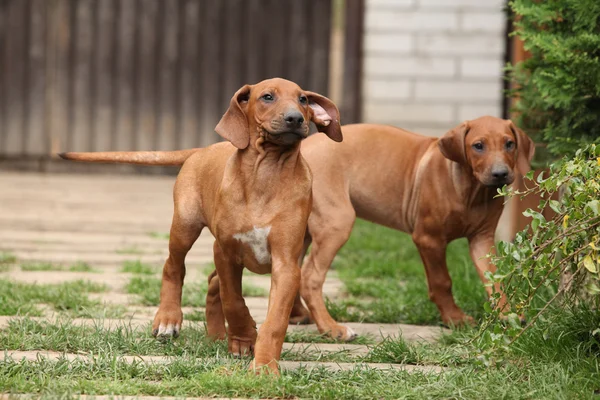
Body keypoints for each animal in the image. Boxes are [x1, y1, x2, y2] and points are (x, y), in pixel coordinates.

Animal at [62, 77, 342, 372]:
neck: (266, 173)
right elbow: (233, 300)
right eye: (267, 97)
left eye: (303, 100)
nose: (295, 118)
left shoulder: (286, 264)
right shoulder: (226, 251)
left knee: (211, 281)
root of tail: (203, 149)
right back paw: (168, 319)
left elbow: (274, 320)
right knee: (174, 267)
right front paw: (244, 337)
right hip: (185, 226)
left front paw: (264, 366)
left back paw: (217, 335)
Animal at [288, 117, 536, 340]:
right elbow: (442, 281)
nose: (500, 174)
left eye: (509, 144)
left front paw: (508, 315)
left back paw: (298, 315)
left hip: (304, 231)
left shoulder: (481, 239)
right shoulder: (428, 238)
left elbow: (495, 279)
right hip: (337, 222)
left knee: (295, 269)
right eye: (478, 146)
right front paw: (455, 319)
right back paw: (331, 329)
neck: (470, 190)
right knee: (310, 277)